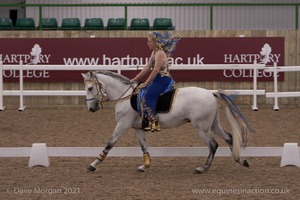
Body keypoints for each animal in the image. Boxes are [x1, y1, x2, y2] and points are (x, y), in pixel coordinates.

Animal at [81, 70, 253, 173]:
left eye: (89, 88)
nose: (91, 108)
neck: (125, 96)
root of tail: (211, 93)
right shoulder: (138, 128)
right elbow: (144, 146)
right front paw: (145, 165)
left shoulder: (123, 125)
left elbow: (110, 143)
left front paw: (93, 164)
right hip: (213, 124)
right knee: (229, 137)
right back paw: (241, 160)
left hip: (202, 128)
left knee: (213, 144)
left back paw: (203, 168)